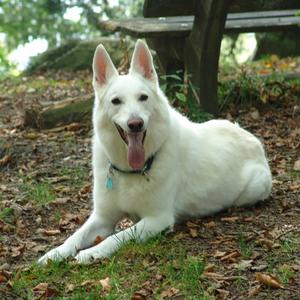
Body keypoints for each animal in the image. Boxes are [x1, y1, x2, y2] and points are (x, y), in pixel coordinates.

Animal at [38, 39, 272, 262]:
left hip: (254, 188)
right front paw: (54, 254)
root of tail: (253, 140)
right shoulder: (102, 218)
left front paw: (92, 252)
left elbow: (118, 236)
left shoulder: (156, 220)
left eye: (143, 97)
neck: (131, 170)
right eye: (116, 101)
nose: (135, 124)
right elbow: (74, 236)